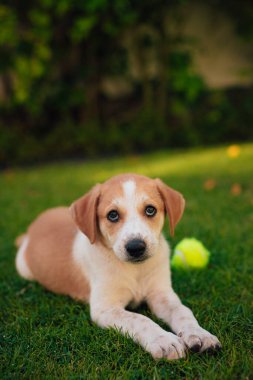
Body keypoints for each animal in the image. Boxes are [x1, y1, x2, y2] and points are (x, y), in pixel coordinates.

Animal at [15, 174, 221, 360]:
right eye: (112, 215)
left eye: (150, 210)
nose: (136, 247)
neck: (135, 269)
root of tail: (34, 226)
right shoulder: (105, 308)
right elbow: (139, 319)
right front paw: (163, 341)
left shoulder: (161, 293)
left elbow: (182, 311)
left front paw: (199, 334)